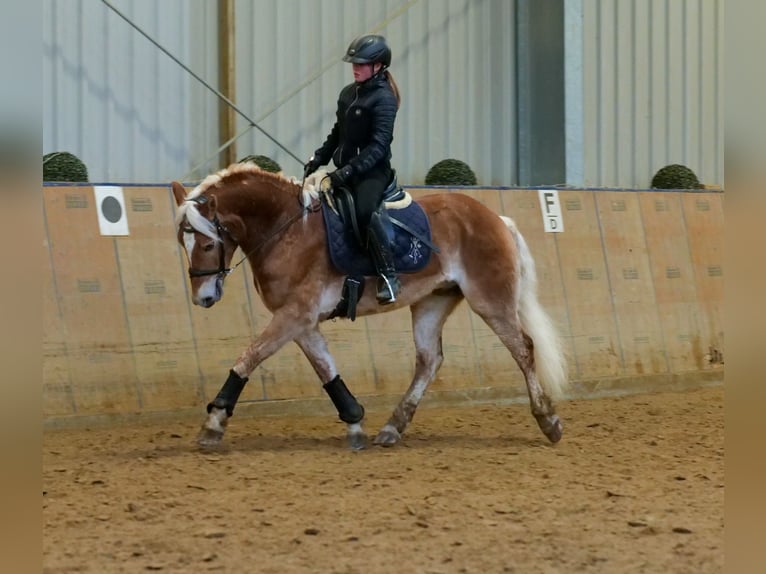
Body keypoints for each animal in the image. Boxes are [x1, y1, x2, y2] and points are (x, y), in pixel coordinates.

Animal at [174, 164, 568, 452]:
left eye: (207, 244)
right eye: (183, 242)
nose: (202, 298)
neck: (287, 231)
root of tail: (496, 219)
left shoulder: (295, 315)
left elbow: (249, 358)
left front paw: (213, 423)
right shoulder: (302, 321)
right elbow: (326, 369)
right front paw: (354, 421)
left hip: (490, 300)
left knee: (523, 348)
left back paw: (548, 421)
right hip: (432, 301)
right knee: (429, 360)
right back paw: (392, 428)